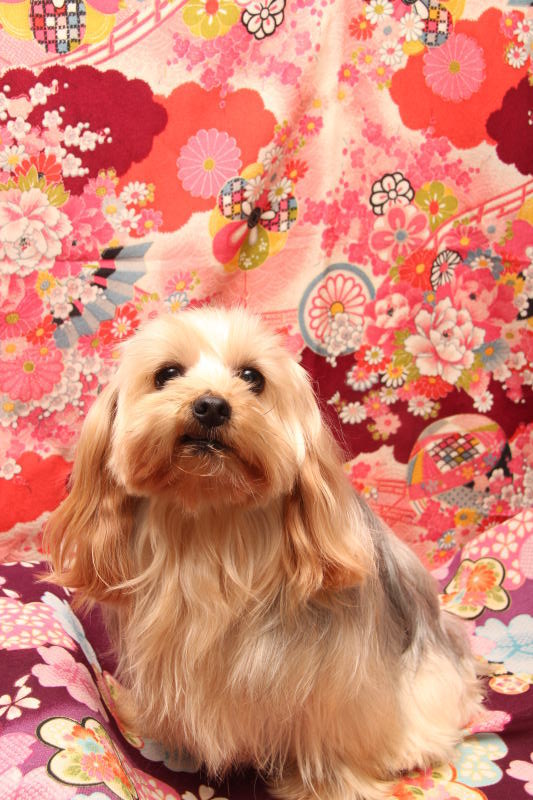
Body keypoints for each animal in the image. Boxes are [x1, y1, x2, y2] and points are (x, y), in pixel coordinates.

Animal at [45, 306, 483, 800]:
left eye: (253, 377)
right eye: (167, 374)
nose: (211, 405)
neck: (211, 529)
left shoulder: (342, 683)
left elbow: (336, 729)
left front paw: (330, 784)